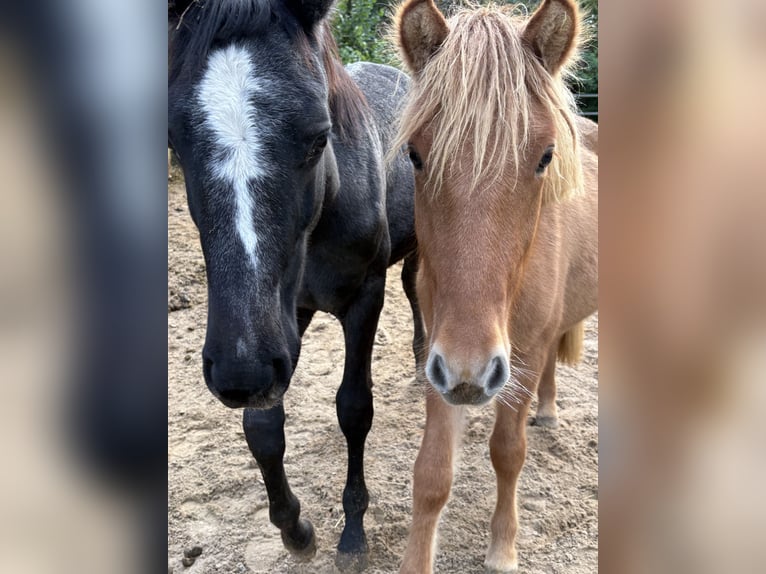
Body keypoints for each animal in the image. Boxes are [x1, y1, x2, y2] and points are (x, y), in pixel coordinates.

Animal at [168, 0, 424, 568]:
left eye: (319, 137)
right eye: (174, 142)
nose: (239, 373)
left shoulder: (365, 298)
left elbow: (355, 408)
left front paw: (353, 535)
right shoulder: (286, 318)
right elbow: (262, 428)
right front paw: (296, 530)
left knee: (420, 288)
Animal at [391, 0, 598, 571]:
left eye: (545, 156)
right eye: (415, 155)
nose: (471, 370)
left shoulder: (519, 352)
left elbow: (508, 453)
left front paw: (503, 547)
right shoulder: (441, 356)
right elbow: (431, 473)